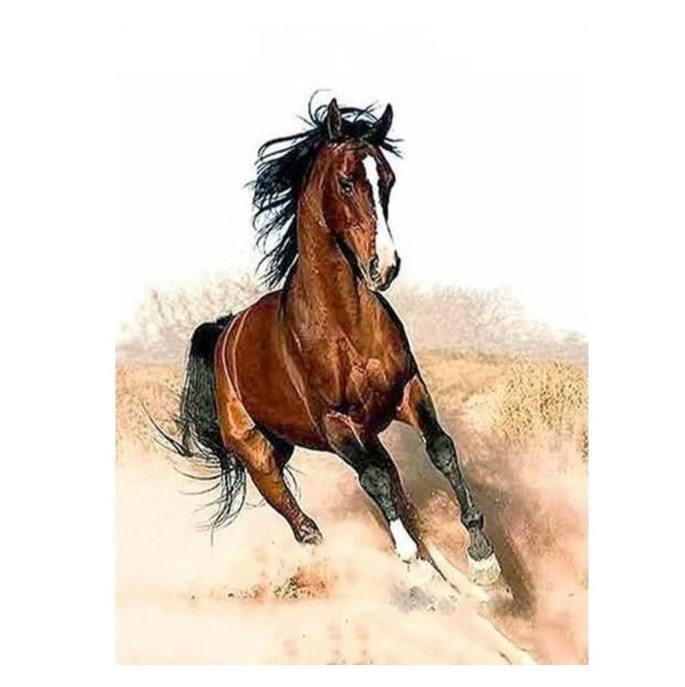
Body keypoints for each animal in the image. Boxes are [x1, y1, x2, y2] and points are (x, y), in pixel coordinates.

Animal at [159, 98, 502, 586]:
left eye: (388, 180)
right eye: (346, 182)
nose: (385, 266)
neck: (345, 324)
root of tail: (225, 332)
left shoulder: (407, 392)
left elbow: (441, 449)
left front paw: (481, 556)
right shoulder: (336, 424)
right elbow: (375, 481)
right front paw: (411, 560)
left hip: (343, 436)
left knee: (393, 485)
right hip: (260, 455)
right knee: (303, 522)